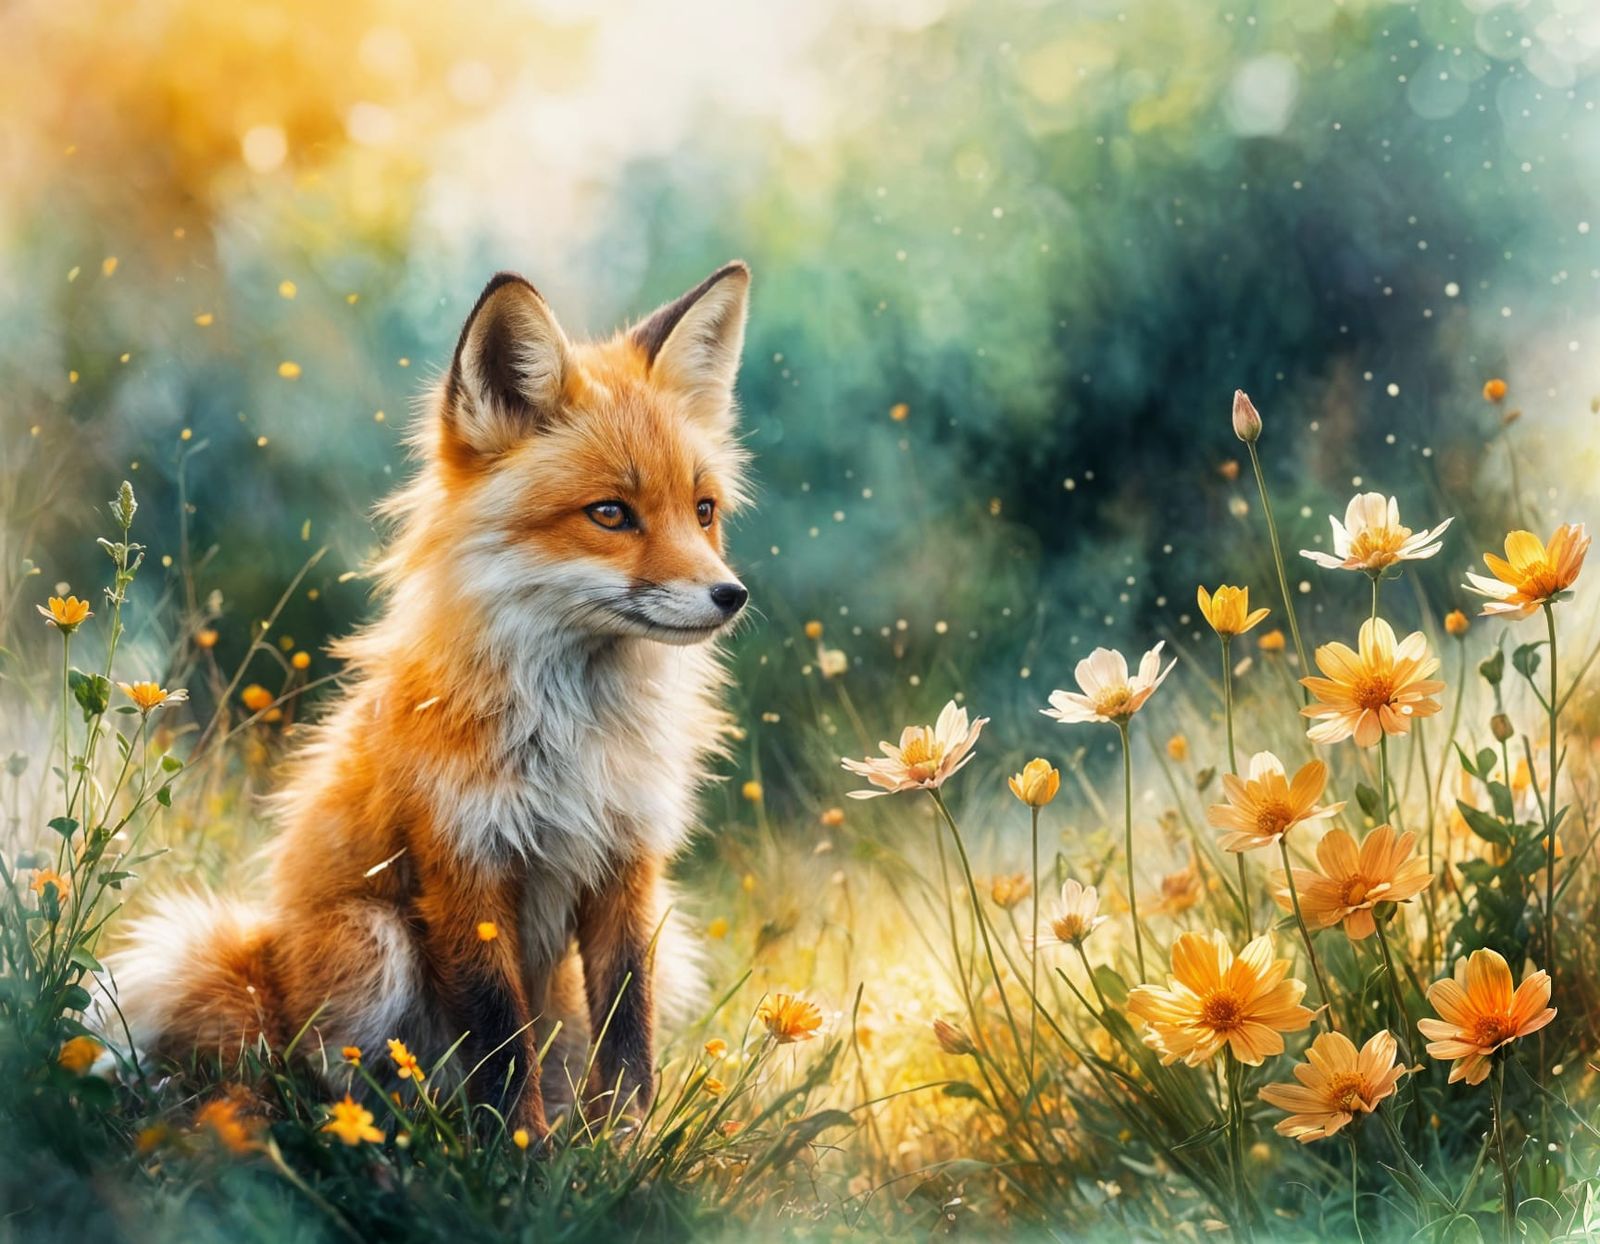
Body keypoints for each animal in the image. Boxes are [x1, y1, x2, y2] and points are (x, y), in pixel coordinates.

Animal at [99, 261, 755, 1138]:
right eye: (611, 514)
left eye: (704, 511)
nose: (731, 595)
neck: (570, 740)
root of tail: (260, 968)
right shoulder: (462, 864)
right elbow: (499, 1037)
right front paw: (523, 1155)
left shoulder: (629, 867)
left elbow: (628, 1037)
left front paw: (619, 1147)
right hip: (371, 942)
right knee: (320, 1073)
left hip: (668, 935)